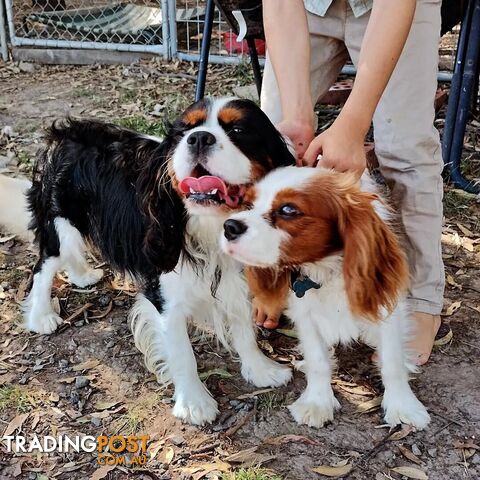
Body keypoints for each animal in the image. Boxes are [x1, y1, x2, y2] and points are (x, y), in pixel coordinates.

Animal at [24, 96, 294, 424]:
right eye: (183, 132)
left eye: (239, 130)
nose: (199, 138)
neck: (210, 225)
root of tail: (65, 132)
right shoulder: (165, 297)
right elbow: (182, 353)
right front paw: (194, 403)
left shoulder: (237, 279)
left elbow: (244, 328)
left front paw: (261, 370)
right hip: (60, 221)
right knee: (43, 267)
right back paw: (41, 317)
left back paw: (82, 276)